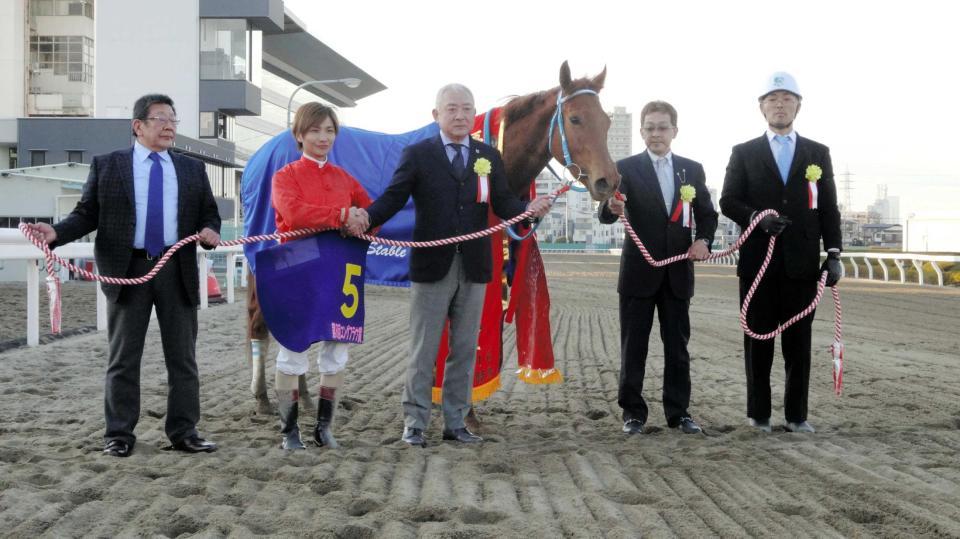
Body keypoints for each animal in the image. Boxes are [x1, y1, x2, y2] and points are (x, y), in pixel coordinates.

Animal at [244, 61, 620, 414]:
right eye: (574, 119)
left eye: (606, 121)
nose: (608, 181)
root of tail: (260, 157)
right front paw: (463, 413)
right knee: (265, 324)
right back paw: (264, 399)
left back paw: (303, 398)